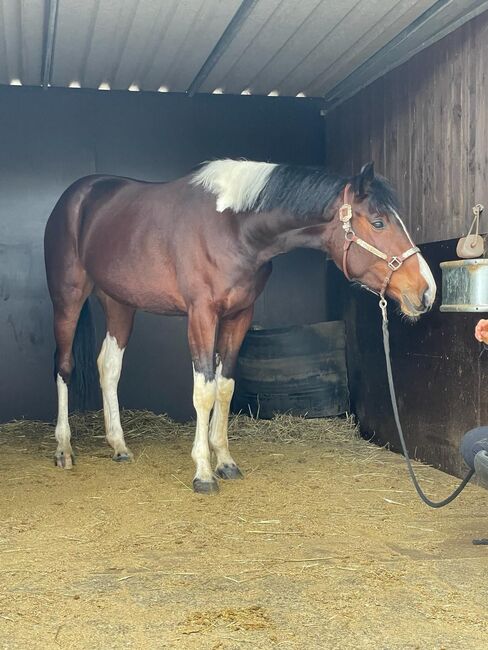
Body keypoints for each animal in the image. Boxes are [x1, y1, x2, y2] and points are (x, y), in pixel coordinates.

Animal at [44, 159, 434, 494]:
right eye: (379, 222)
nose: (426, 290)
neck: (232, 227)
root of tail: (78, 196)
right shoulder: (202, 314)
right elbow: (204, 390)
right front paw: (203, 471)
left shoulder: (239, 316)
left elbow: (225, 387)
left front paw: (225, 461)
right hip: (68, 298)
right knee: (64, 365)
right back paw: (64, 448)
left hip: (119, 303)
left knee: (108, 367)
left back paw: (119, 446)